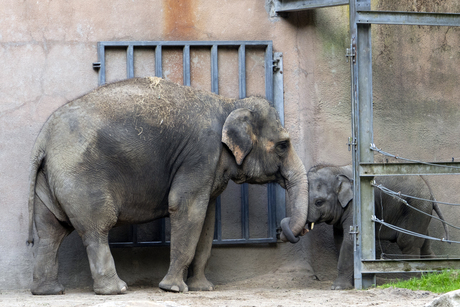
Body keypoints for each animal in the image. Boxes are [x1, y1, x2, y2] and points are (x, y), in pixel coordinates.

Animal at [27, 77, 310, 296]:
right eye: (283, 145)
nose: (281, 231)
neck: (229, 103)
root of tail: (43, 138)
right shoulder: (200, 153)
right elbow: (186, 208)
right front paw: (174, 289)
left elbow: (207, 219)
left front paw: (203, 288)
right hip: (80, 176)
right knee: (97, 227)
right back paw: (116, 289)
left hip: (49, 179)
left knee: (50, 231)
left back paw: (49, 291)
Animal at [304, 165, 448, 290]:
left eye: (319, 202)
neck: (337, 169)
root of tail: (430, 192)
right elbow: (340, 240)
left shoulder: (355, 206)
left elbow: (350, 242)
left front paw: (338, 288)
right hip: (421, 211)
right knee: (424, 243)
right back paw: (435, 275)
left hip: (416, 207)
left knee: (407, 242)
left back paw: (409, 281)